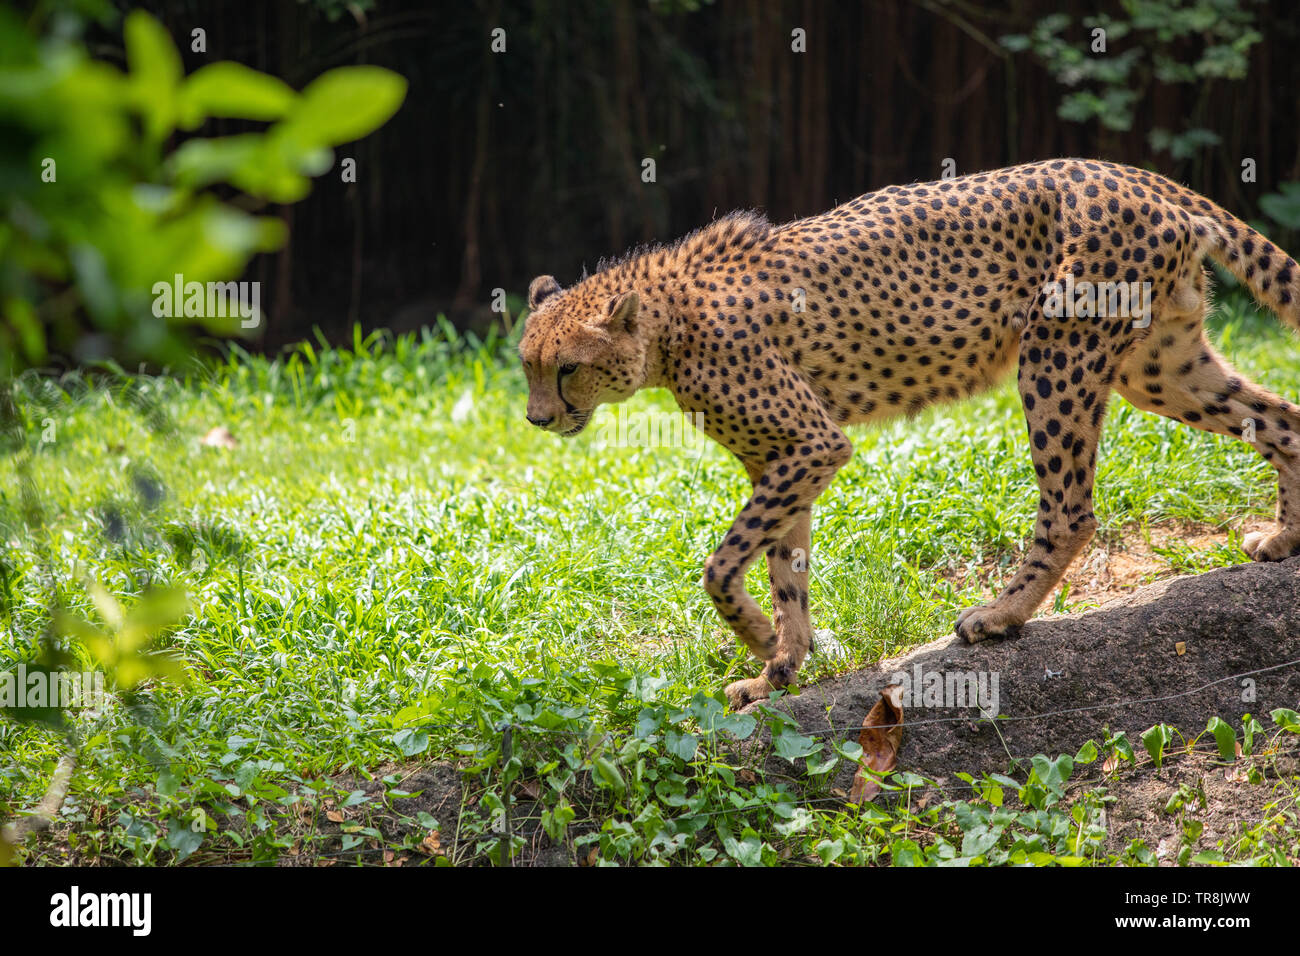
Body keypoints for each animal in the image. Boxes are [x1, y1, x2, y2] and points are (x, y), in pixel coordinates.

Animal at [517, 158, 1300, 712]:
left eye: (567, 369)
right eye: (526, 364)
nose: (536, 418)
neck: (665, 326)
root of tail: (1136, 173)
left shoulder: (812, 444)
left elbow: (721, 565)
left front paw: (759, 640)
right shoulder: (784, 460)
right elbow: (784, 568)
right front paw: (780, 668)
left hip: (1056, 355)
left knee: (1071, 509)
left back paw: (1000, 616)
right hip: (1160, 367)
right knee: (1283, 416)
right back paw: (1286, 540)